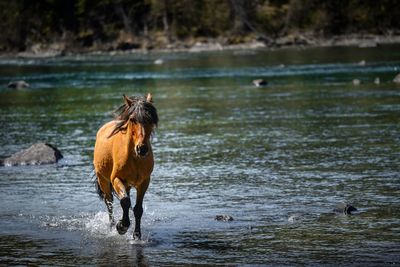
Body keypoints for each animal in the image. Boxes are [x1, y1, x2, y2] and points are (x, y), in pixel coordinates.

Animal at [93, 93, 158, 240]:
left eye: (150, 119)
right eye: (132, 119)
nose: (142, 149)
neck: (135, 158)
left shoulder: (144, 182)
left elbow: (137, 209)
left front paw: (137, 235)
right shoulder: (116, 179)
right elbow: (125, 201)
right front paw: (121, 226)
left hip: (127, 184)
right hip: (103, 180)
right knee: (109, 202)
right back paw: (112, 225)